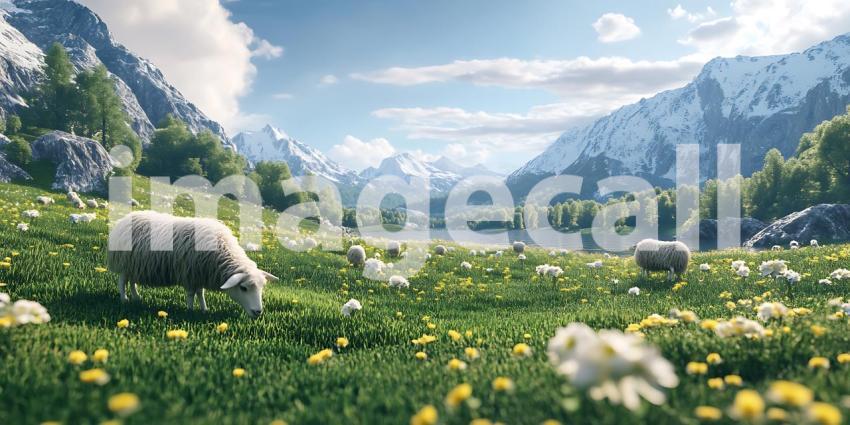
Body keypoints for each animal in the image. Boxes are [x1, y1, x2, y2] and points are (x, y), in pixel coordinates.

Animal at [106, 211, 278, 318]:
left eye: (262, 288)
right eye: (243, 288)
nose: (258, 312)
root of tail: (123, 220)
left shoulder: (199, 274)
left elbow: (200, 293)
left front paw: (204, 309)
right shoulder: (189, 273)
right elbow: (190, 294)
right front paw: (189, 310)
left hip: (136, 265)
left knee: (132, 281)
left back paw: (136, 297)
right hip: (125, 262)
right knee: (122, 281)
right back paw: (124, 299)